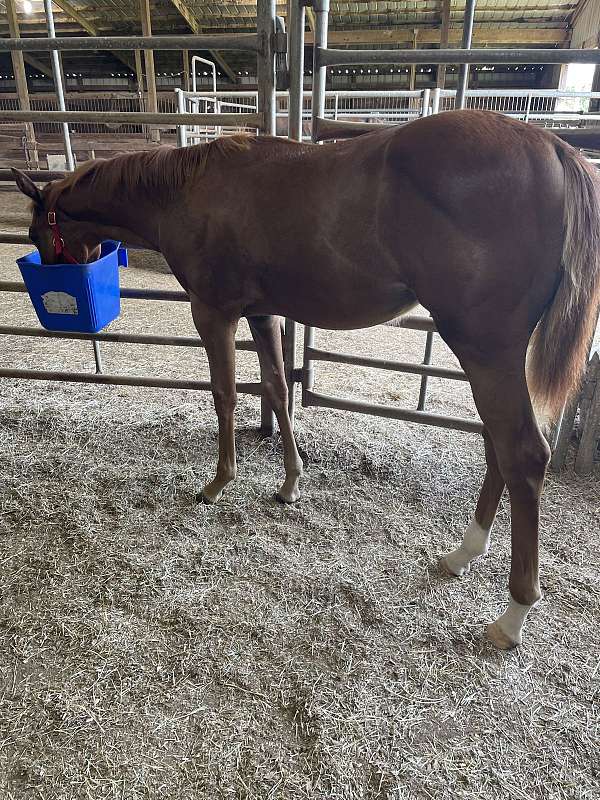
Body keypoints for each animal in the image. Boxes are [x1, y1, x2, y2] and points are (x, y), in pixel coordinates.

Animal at [13, 109, 600, 650]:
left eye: (36, 231)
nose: (51, 278)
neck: (185, 190)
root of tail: (553, 147)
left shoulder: (213, 312)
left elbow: (225, 394)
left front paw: (219, 481)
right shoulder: (262, 314)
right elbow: (275, 388)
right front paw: (290, 482)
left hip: (486, 350)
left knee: (523, 453)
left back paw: (512, 615)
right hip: (491, 356)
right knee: (496, 445)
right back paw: (463, 553)